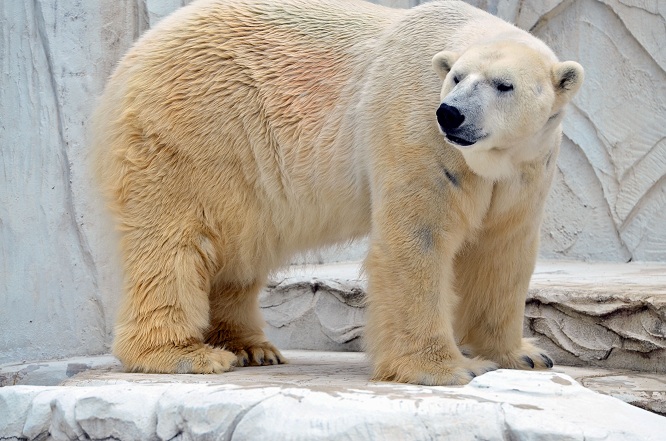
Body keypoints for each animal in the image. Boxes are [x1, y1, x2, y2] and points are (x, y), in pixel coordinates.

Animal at [93, 0, 580, 384]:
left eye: (504, 84)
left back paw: (251, 347)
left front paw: (525, 355)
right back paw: (183, 355)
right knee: (174, 240)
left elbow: (502, 252)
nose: (451, 114)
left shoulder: (527, 169)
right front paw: (444, 368)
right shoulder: (417, 134)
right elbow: (418, 241)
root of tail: (137, 51)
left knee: (239, 252)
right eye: (457, 78)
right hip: (195, 129)